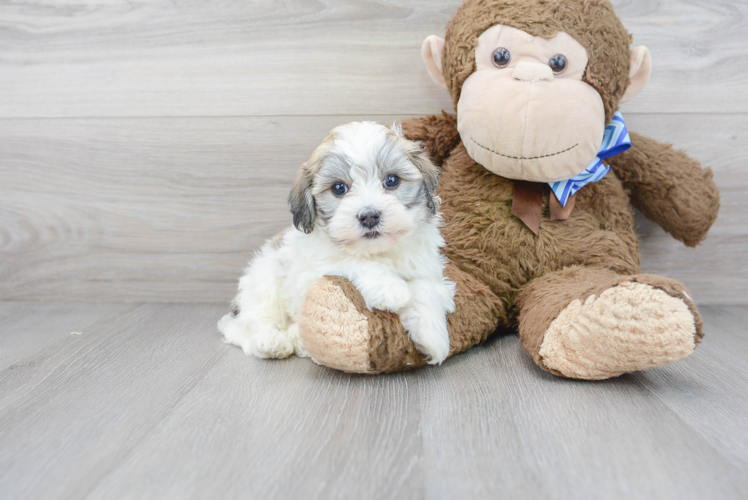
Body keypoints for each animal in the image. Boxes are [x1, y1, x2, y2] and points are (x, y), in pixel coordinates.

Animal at [216, 120, 456, 364]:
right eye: (339, 188)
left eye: (391, 181)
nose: (369, 216)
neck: (378, 252)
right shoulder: (313, 269)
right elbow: (352, 261)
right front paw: (390, 288)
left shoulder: (426, 266)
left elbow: (426, 286)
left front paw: (432, 335)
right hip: (265, 283)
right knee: (245, 326)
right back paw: (271, 342)